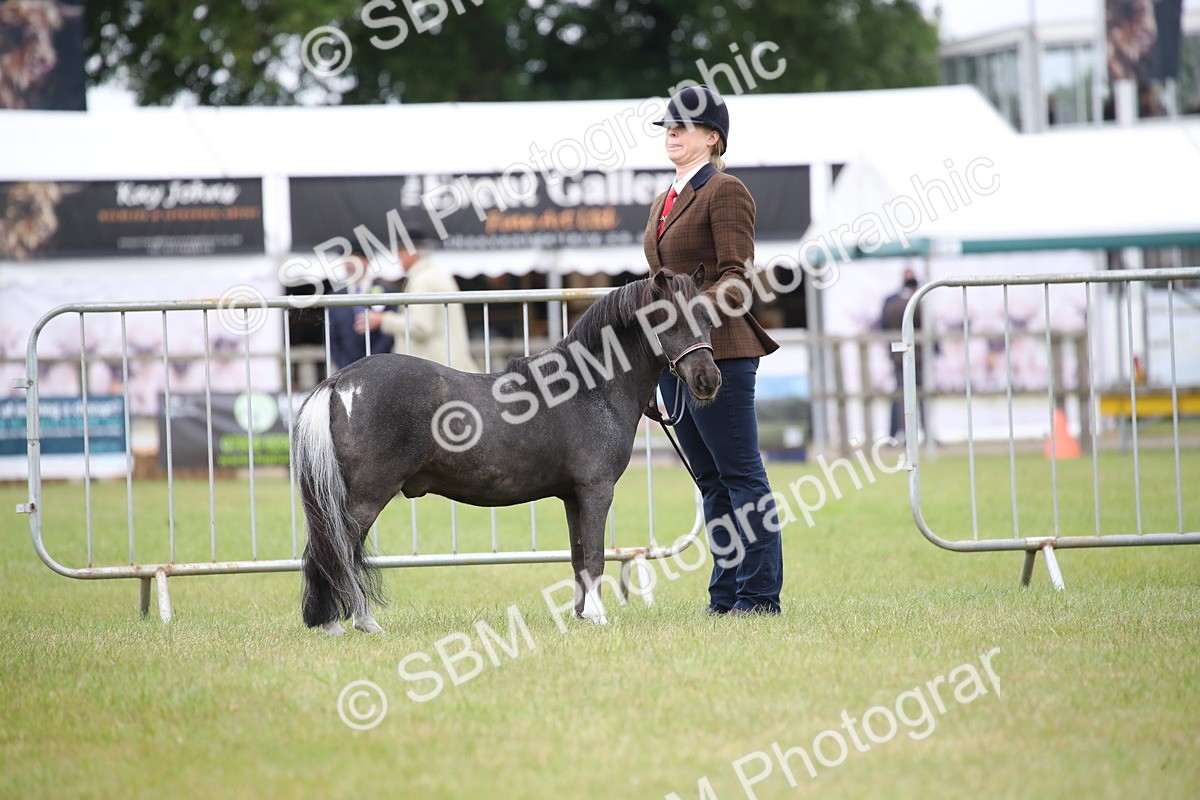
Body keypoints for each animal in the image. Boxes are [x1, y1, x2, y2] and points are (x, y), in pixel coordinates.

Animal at [293, 269, 722, 635]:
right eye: (667, 320)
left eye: (706, 317)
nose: (708, 380)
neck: (590, 388)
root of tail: (339, 381)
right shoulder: (597, 490)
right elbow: (597, 555)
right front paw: (599, 616)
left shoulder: (573, 496)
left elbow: (579, 555)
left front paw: (581, 614)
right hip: (366, 497)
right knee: (337, 550)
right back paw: (354, 623)